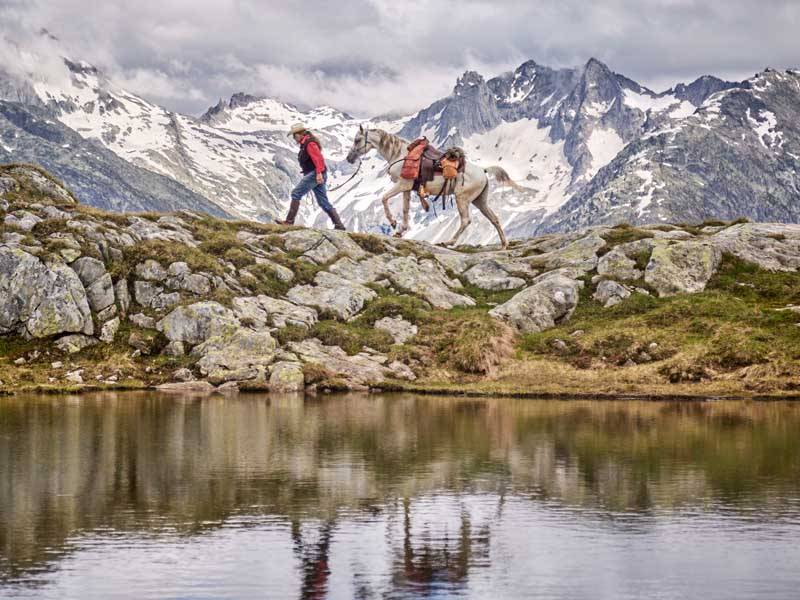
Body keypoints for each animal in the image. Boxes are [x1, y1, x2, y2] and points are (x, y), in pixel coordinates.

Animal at [344, 125, 512, 247]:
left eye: (357, 140)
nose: (349, 158)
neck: (400, 154)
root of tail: (483, 171)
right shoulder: (407, 188)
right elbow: (405, 210)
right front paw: (400, 231)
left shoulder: (402, 185)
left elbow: (384, 198)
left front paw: (393, 222)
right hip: (479, 201)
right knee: (494, 219)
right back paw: (504, 244)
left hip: (462, 199)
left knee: (466, 220)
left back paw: (449, 242)